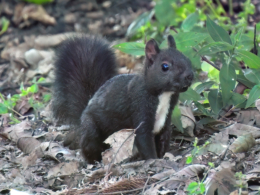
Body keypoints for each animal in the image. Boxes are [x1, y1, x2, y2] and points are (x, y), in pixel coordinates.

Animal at [51, 34, 193, 163]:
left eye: (187, 59)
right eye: (165, 66)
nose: (189, 75)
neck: (164, 95)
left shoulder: (166, 119)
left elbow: (164, 139)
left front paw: (162, 157)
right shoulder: (140, 108)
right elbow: (144, 140)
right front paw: (154, 160)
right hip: (90, 129)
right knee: (89, 145)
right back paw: (95, 160)